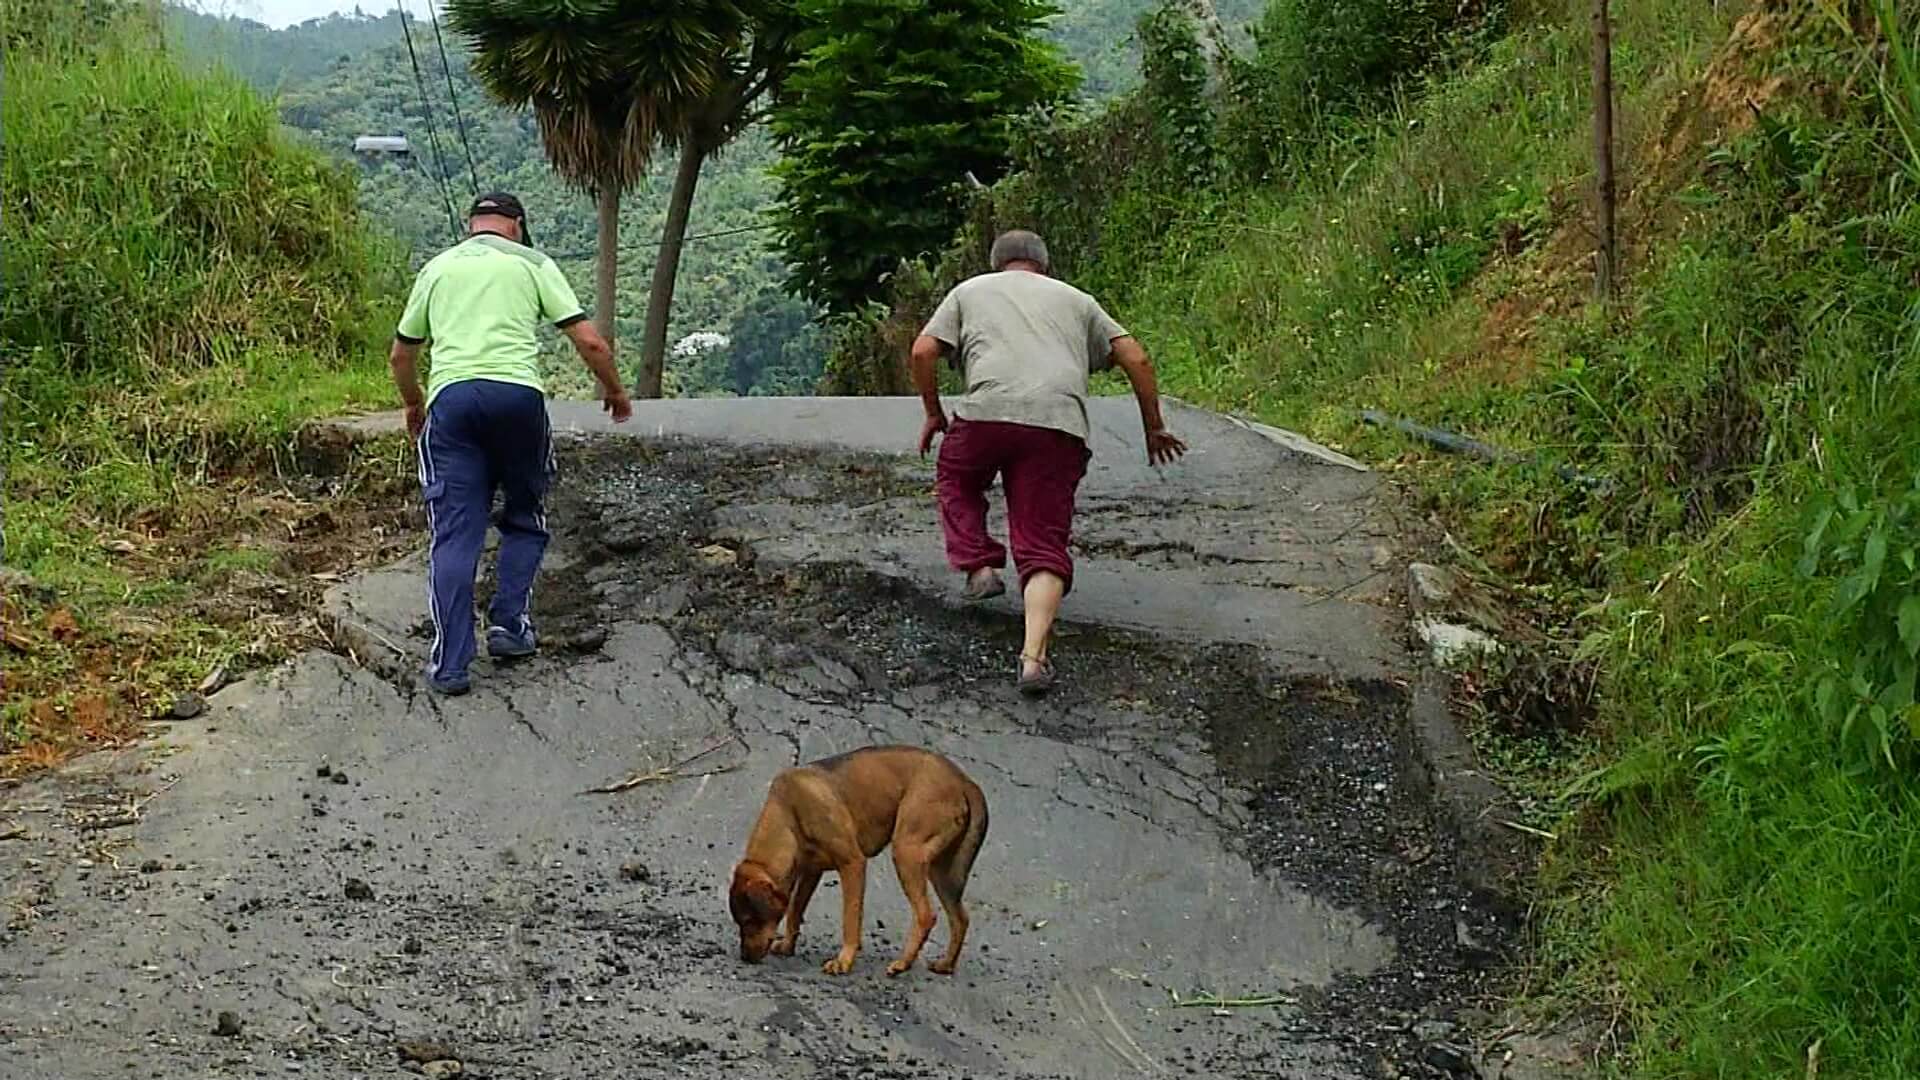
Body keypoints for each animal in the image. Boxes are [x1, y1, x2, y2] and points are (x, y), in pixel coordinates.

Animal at [721, 745, 983, 972]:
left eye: (750, 921)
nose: (744, 957)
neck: (789, 816)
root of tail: (964, 781)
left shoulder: (852, 864)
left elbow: (849, 919)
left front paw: (843, 960)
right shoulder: (810, 872)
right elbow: (795, 910)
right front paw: (787, 945)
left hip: (907, 852)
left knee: (926, 915)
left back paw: (903, 963)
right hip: (942, 870)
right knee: (960, 918)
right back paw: (946, 964)